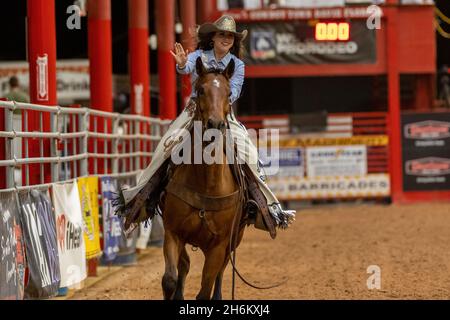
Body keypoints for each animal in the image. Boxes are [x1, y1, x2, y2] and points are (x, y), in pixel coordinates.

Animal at [161, 57, 246, 300]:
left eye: (229, 93)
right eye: (200, 90)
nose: (215, 125)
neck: (207, 183)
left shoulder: (219, 245)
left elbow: (205, 288)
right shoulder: (173, 232)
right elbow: (169, 280)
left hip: (234, 241)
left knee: (220, 272)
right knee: (184, 265)